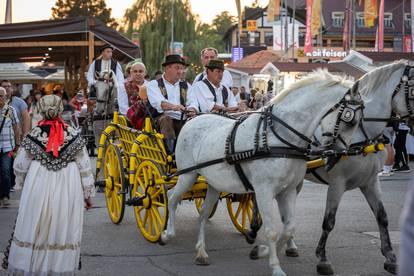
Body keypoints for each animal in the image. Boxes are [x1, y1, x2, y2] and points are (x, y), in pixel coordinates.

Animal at [158, 71, 366, 276]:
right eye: (351, 120)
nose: (337, 156)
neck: (277, 137)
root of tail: (193, 119)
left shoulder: (288, 191)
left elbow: (289, 228)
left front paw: (261, 251)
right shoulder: (264, 191)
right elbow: (272, 231)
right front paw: (275, 267)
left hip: (214, 184)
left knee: (202, 213)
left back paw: (201, 252)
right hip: (188, 175)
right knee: (172, 197)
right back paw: (166, 234)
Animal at [249, 61, 414, 276]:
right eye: (413, 89)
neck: (364, 135)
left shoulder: (371, 182)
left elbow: (382, 217)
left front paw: (390, 257)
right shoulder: (337, 184)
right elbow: (329, 221)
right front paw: (323, 259)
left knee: (285, 215)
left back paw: (290, 245)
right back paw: (253, 228)